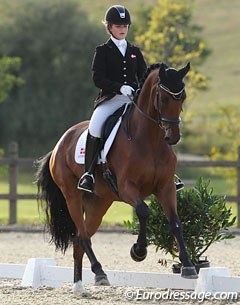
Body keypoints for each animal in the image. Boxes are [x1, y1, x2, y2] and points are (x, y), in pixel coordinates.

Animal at [35, 61, 197, 294]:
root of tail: (60, 144)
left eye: (182, 97)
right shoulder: (127, 187)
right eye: (163, 98)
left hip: (99, 203)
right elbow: (143, 211)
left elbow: (175, 222)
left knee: (80, 240)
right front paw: (138, 251)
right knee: (82, 236)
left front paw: (188, 266)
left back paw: (80, 286)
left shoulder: (165, 187)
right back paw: (99, 272)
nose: (172, 137)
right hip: (72, 196)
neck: (150, 139)